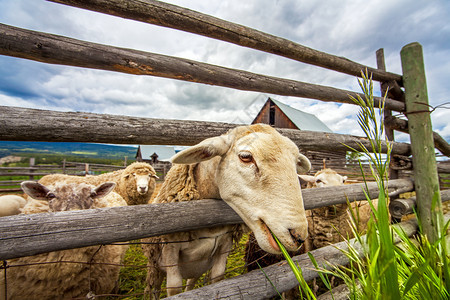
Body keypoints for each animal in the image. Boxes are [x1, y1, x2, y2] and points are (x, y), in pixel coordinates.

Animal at [142, 124, 312, 298]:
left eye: (295, 163)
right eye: (245, 157)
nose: (298, 236)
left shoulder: (224, 244)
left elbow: (217, 278)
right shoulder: (170, 249)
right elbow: (174, 288)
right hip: (154, 265)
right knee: (155, 287)